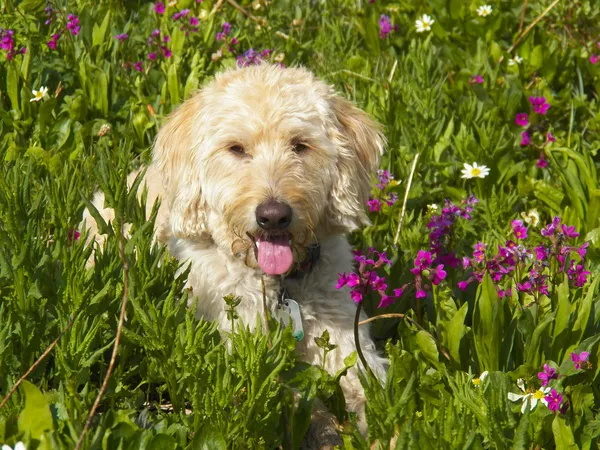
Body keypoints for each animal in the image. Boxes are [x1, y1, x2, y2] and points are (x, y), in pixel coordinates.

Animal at [81, 61, 390, 442]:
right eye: (237, 149)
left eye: (299, 145)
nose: (273, 216)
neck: (278, 286)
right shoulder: (243, 354)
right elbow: (298, 401)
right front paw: (327, 432)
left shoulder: (348, 346)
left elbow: (372, 396)